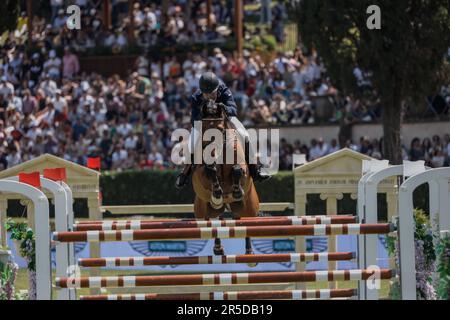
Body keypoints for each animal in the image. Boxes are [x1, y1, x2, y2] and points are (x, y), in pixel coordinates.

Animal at [191, 101, 260, 262]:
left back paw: (249, 253)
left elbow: (237, 170)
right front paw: (217, 192)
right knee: (215, 223)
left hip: (248, 209)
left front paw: (236, 191)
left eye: (221, 130)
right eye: (203, 129)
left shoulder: (243, 168)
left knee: (245, 224)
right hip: (204, 212)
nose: (210, 154)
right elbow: (209, 171)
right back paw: (218, 248)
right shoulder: (199, 174)